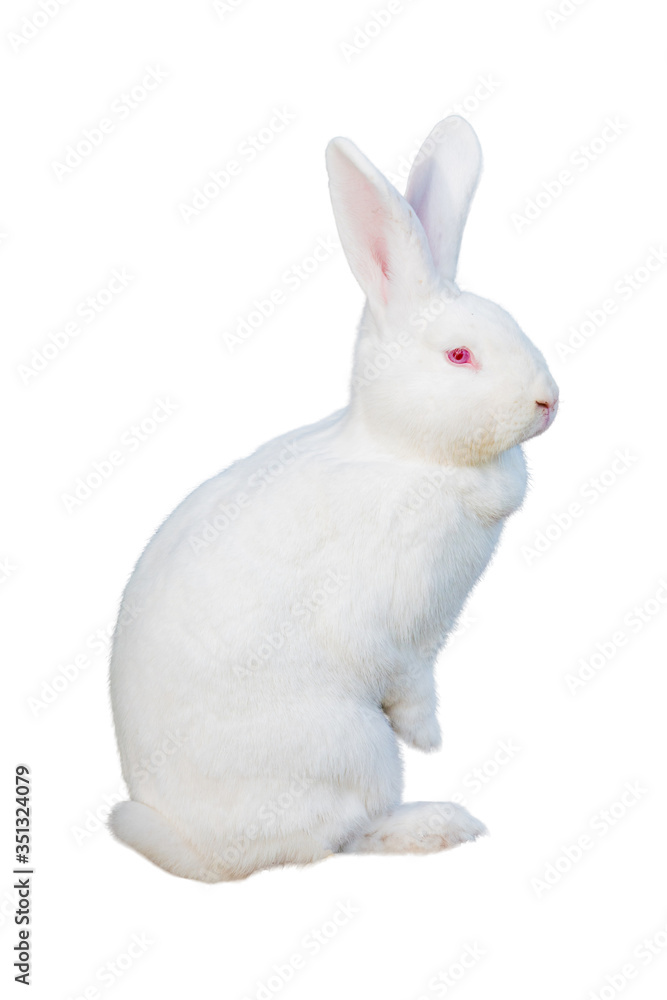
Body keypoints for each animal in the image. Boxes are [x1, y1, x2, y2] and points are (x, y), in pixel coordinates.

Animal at [109, 115, 559, 882]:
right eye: (459, 356)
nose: (547, 402)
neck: (409, 455)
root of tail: (199, 851)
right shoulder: (393, 627)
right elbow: (408, 682)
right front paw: (431, 737)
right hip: (355, 744)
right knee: (338, 836)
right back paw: (439, 823)